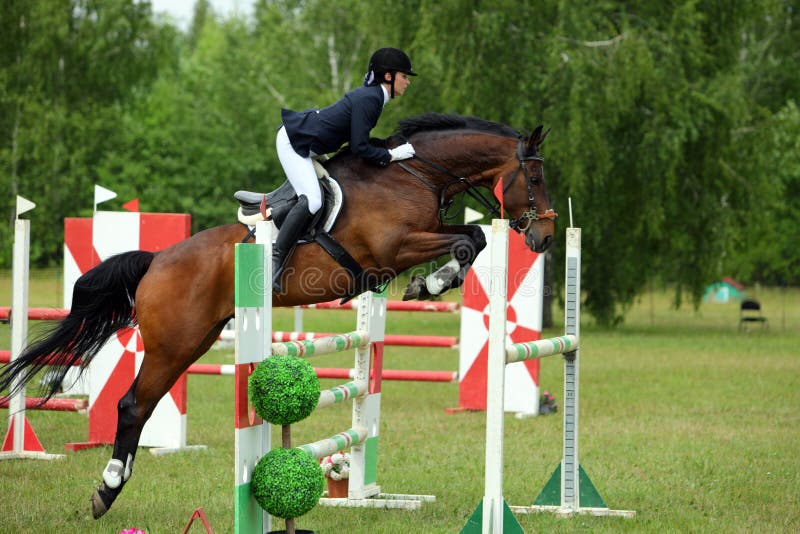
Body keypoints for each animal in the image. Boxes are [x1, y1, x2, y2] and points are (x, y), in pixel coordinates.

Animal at [0, 112, 556, 520]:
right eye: (535, 176)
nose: (546, 237)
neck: (409, 174)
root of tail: (156, 260)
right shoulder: (393, 247)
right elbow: (469, 238)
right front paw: (431, 283)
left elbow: (475, 238)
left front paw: (432, 282)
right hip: (174, 343)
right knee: (133, 405)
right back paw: (107, 489)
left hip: (195, 342)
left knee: (144, 404)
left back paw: (109, 489)